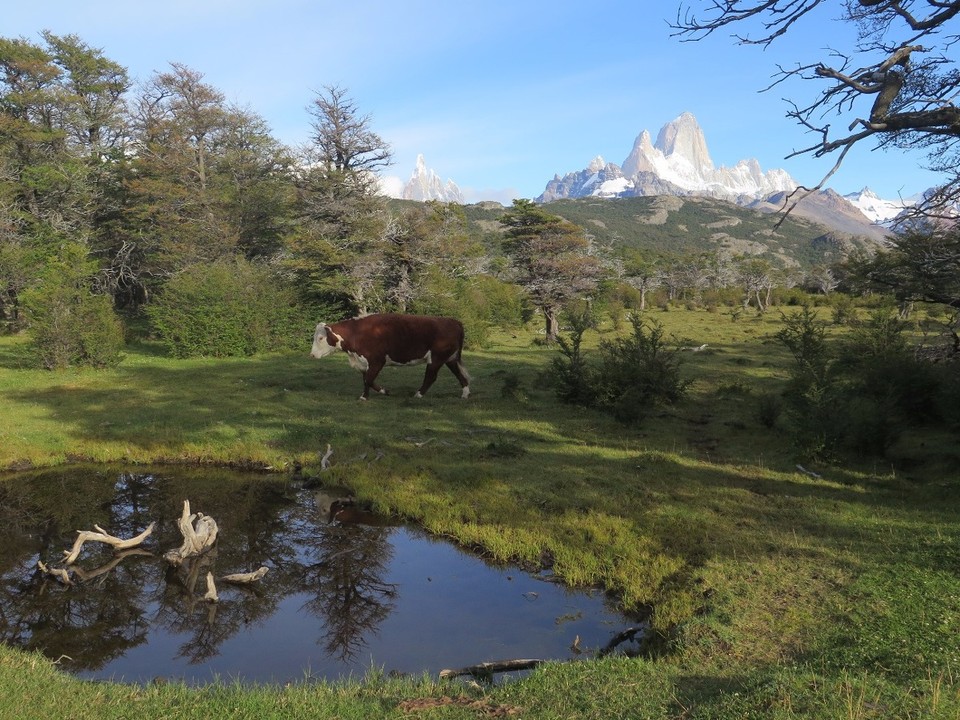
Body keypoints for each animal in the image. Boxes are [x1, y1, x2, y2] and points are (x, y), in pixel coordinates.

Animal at [310, 312, 470, 400]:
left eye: (320, 338)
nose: (311, 355)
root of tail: (453, 321)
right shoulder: (364, 363)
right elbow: (366, 380)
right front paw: (370, 394)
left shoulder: (376, 361)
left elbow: (368, 379)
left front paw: (373, 394)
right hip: (450, 359)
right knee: (460, 375)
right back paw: (465, 394)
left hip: (436, 358)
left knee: (431, 377)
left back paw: (418, 394)